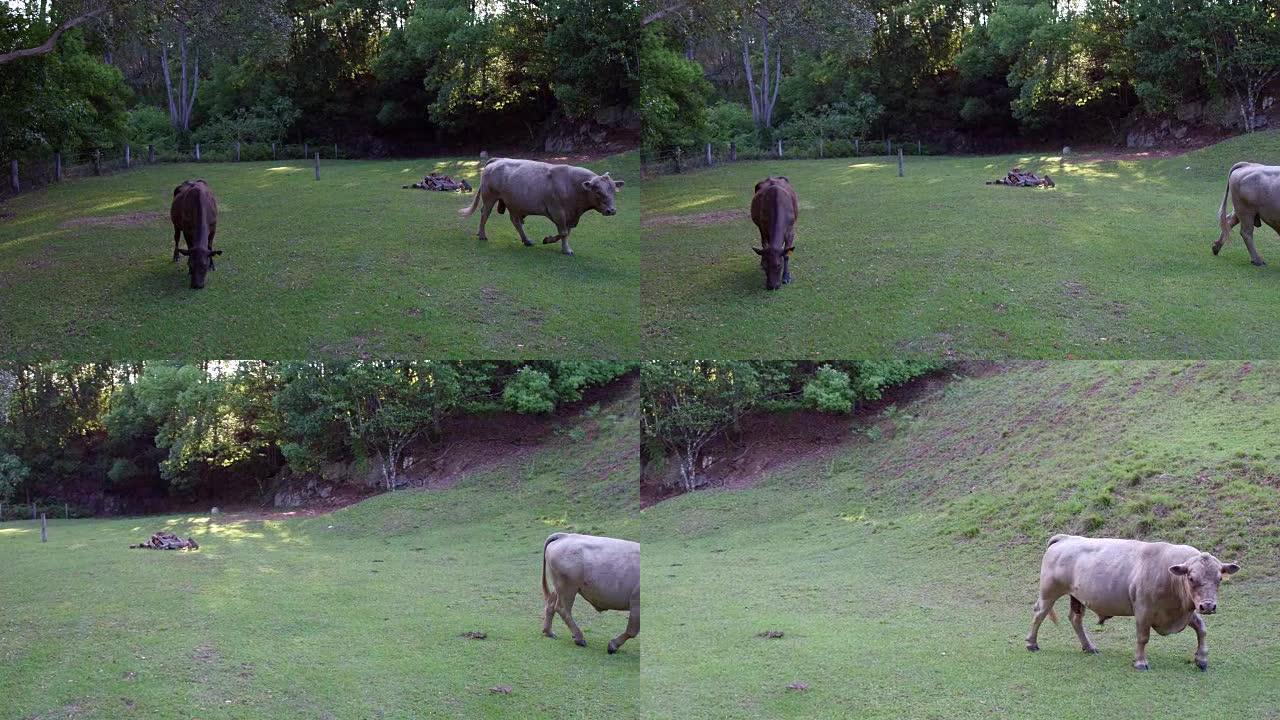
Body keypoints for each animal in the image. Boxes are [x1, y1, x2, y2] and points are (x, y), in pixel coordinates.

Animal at [458, 157, 622, 254]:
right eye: (598, 192)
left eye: (614, 190)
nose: (612, 210)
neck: (572, 186)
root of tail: (496, 160)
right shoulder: (558, 212)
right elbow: (563, 232)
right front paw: (558, 245)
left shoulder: (569, 215)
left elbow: (565, 232)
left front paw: (557, 244)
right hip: (490, 198)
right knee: (484, 214)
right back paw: (482, 235)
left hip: (514, 203)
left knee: (516, 222)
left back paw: (526, 240)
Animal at [1024, 532, 1233, 666]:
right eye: (1191, 578)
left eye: (1219, 579)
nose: (1208, 606)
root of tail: (1065, 538)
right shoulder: (1143, 611)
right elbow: (1143, 637)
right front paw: (1140, 661)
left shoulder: (1185, 610)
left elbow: (1202, 629)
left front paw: (1202, 658)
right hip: (1049, 592)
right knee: (1039, 613)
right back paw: (1031, 643)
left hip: (1077, 598)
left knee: (1075, 619)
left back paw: (1089, 646)